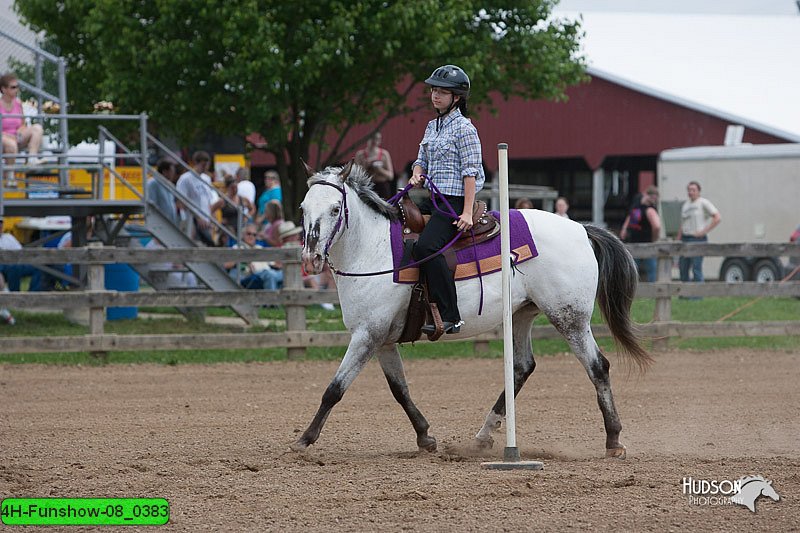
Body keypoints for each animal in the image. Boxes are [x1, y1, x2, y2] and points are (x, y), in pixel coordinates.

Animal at [292, 162, 648, 458]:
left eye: (335, 208)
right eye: (303, 207)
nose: (310, 258)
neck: (374, 250)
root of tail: (580, 229)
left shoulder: (366, 337)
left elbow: (334, 389)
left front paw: (305, 439)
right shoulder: (382, 339)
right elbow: (399, 389)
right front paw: (425, 437)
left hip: (569, 317)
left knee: (598, 367)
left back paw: (614, 440)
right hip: (521, 314)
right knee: (522, 367)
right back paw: (483, 436)